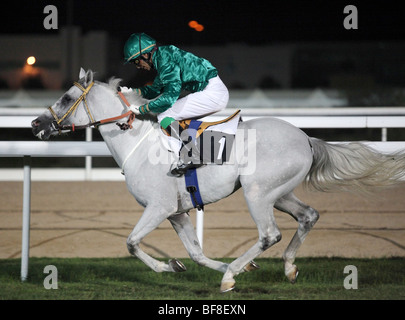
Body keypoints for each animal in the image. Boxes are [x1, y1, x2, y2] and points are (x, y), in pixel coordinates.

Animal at [32, 68, 405, 292]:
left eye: (66, 98)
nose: (36, 124)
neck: (138, 142)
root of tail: (306, 138)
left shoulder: (158, 206)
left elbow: (132, 242)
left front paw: (172, 267)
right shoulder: (177, 212)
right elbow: (196, 254)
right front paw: (190, 265)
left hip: (257, 193)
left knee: (269, 234)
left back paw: (230, 277)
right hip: (279, 193)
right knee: (308, 216)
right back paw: (286, 268)